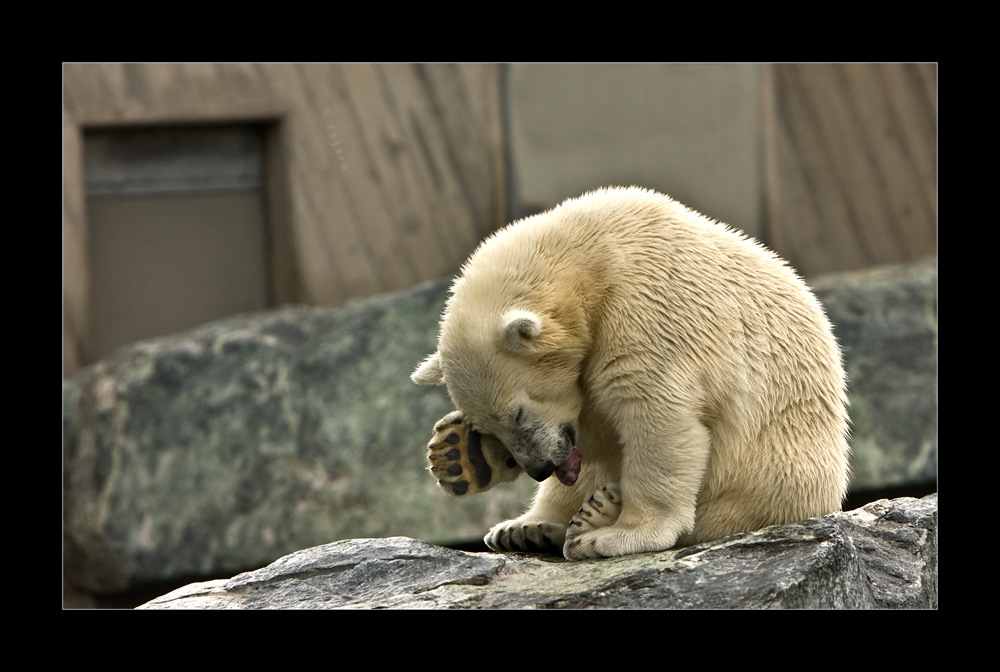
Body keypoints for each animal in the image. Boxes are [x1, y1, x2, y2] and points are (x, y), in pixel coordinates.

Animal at [410, 186, 848, 560]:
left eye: (516, 412)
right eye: (487, 424)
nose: (540, 467)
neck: (591, 255)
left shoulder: (648, 308)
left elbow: (657, 416)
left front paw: (622, 534)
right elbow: (595, 427)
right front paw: (467, 451)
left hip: (773, 470)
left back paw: (596, 515)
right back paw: (514, 516)